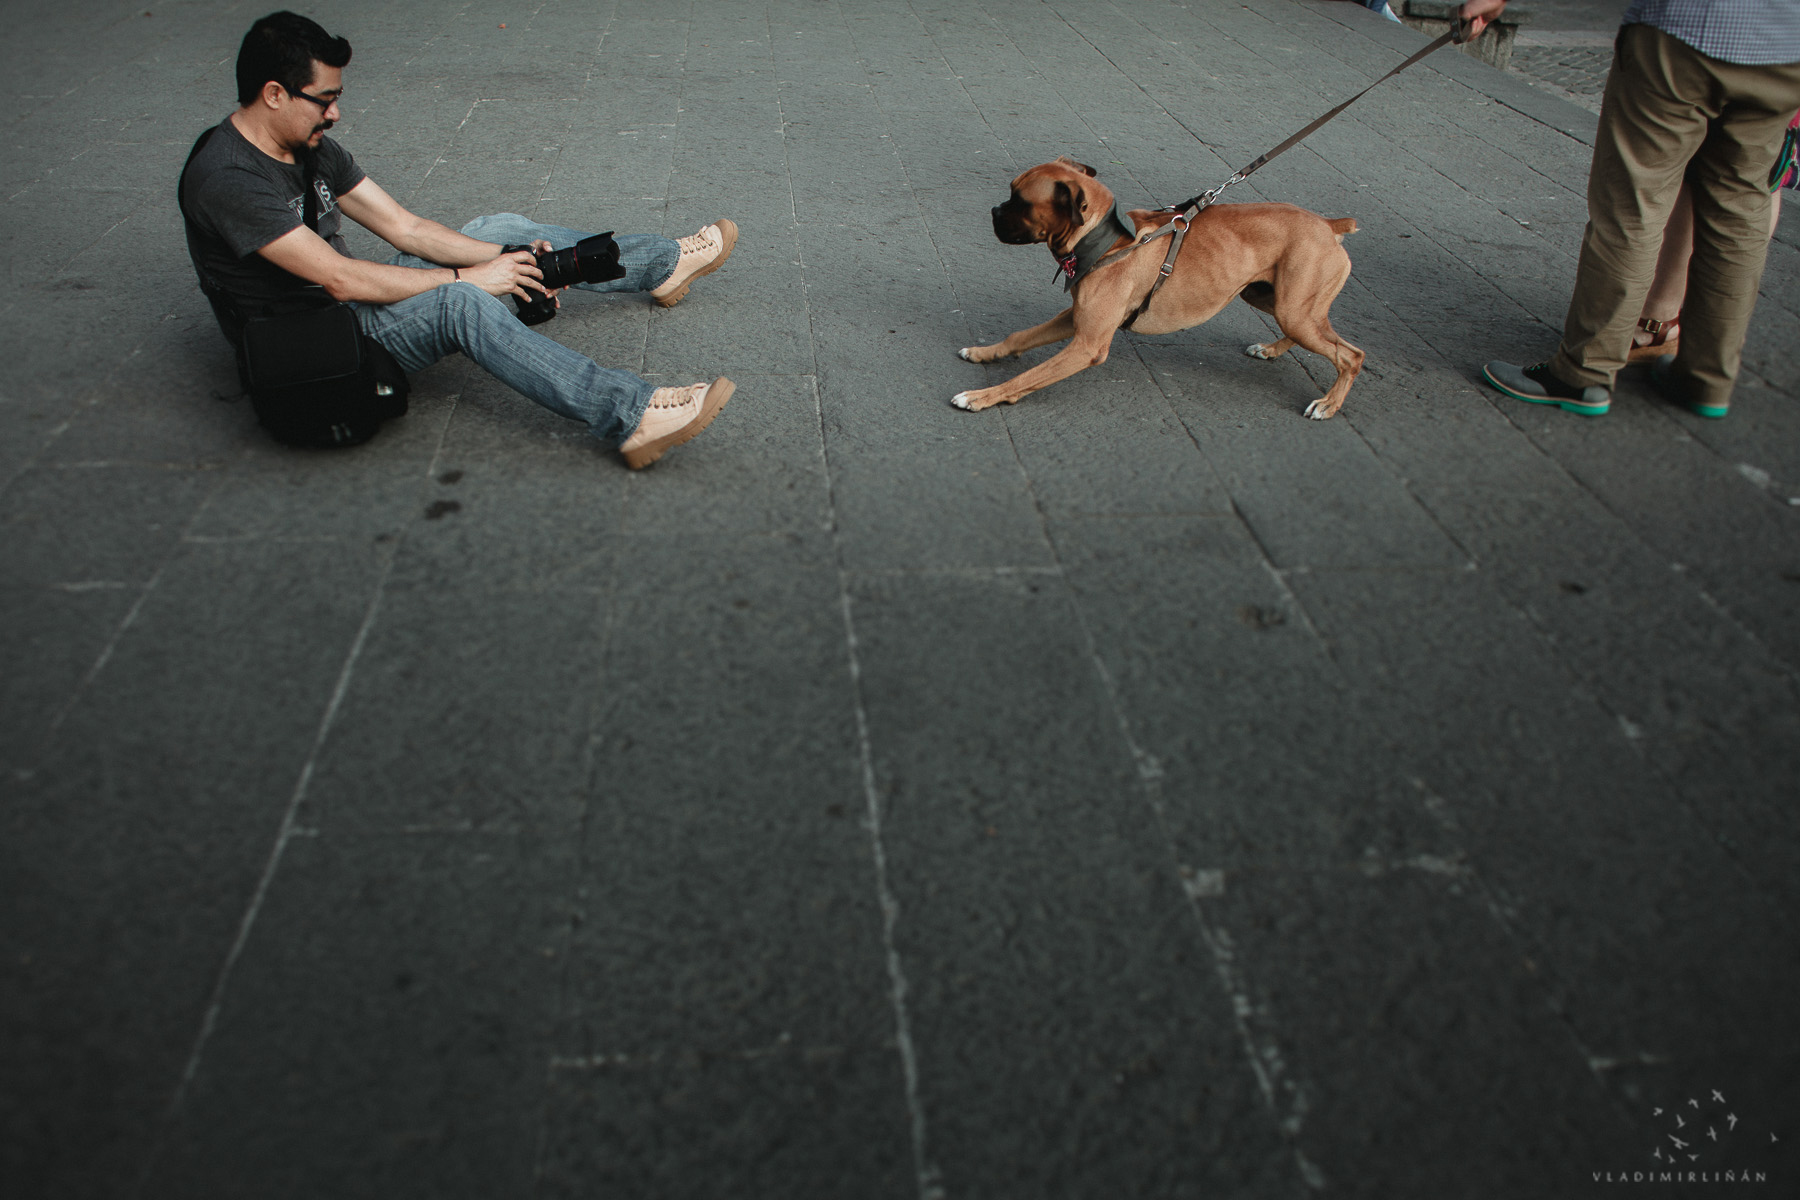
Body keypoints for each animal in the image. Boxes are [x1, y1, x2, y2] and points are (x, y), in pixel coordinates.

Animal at [957, 158, 1360, 422]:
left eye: (1020, 201)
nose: (993, 211)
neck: (1108, 241)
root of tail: (1329, 225)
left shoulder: (1087, 345)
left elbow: (1026, 378)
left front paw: (981, 396)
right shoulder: (1074, 319)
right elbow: (1020, 337)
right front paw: (984, 353)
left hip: (1294, 310)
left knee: (1350, 355)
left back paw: (1328, 404)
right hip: (1275, 300)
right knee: (1317, 333)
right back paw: (1271, 349)